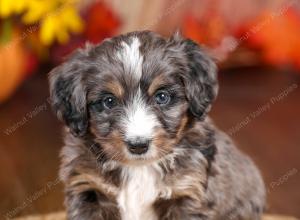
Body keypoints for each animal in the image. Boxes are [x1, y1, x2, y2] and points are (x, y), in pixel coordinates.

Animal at [48, 31, 264, 220]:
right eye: (109, 101)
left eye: (162, 97)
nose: (138, 146)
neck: (139, 168)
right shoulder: (87, 189)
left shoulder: (187, 192)